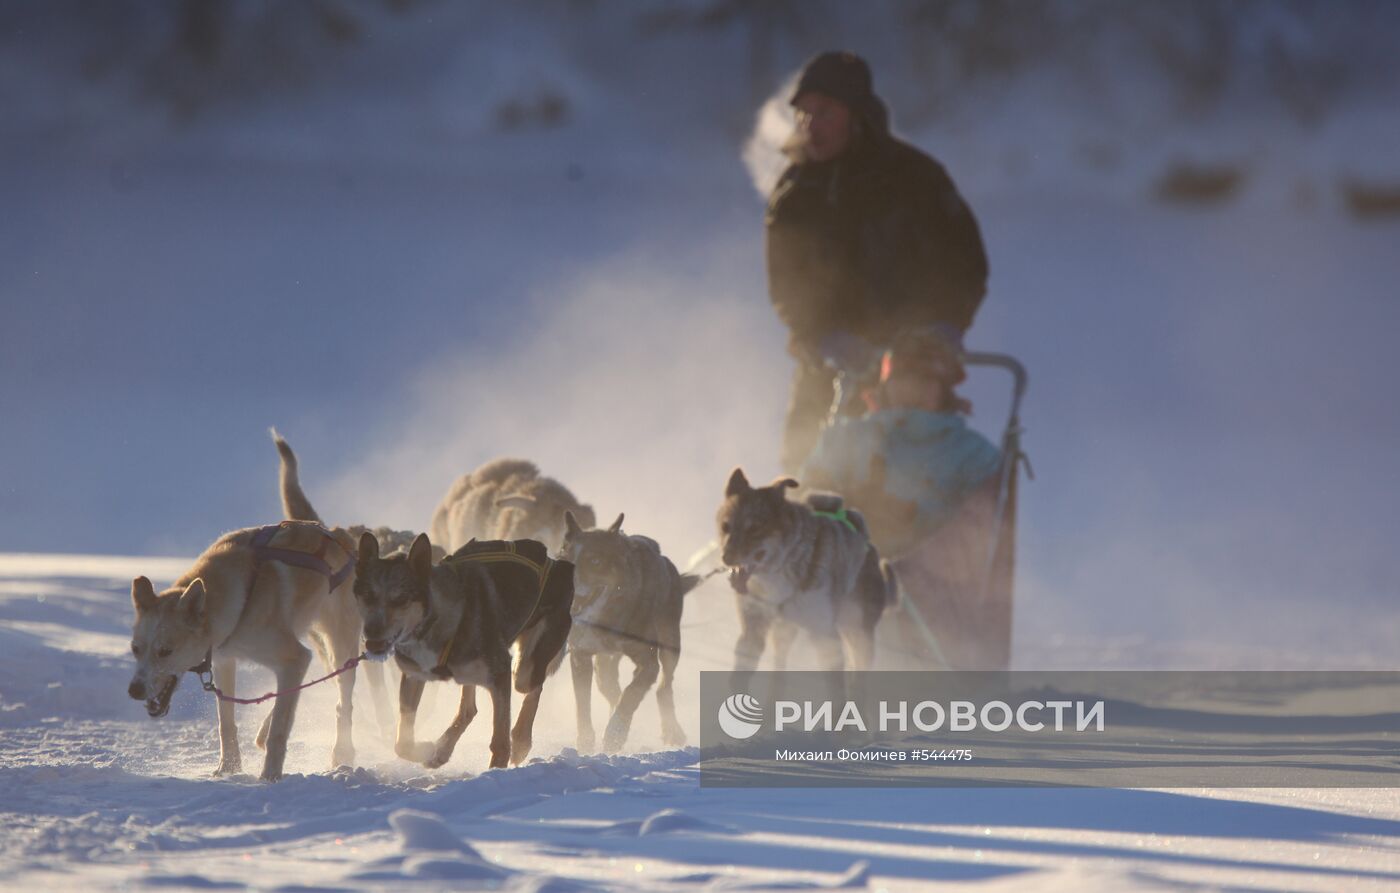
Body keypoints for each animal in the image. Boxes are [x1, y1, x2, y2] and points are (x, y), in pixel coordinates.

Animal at [126, 526, 364, 783]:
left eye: (165, 651)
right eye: (135, 649)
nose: (134, 690)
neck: (241, 602)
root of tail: (339, 534)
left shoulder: (295, 658)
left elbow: (279, 729)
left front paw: (270, 775)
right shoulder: (224, 661)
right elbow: (226, 724)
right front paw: (228, 769)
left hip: (339, 650)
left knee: (342, 703)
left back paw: (342, 753)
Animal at [355, 531, 574, 772]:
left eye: (400, 599)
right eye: (368, 595)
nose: (371, 631)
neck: (440, 619)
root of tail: (555, 562)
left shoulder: (500, 673)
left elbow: (500, 740)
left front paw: (496, 770)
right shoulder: (414, 675)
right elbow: (402, 743)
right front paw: (428, 749)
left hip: (523, 671)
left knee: (534, 688)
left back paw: (521, 741)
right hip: (470, 673)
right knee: (469, 709)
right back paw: (442, 750)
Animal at [557, 509, 700, 755]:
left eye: (595, 561)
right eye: (566, 559)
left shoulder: (649, 663)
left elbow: (632, 694)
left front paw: (615, 733)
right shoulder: (581, 655)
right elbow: (583, 703)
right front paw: (586, 740)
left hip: (670, 642)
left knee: (663, 687)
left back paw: (672, 730)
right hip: (604, 665)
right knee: (611, 689)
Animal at [716, 470, 890, 671]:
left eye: (754, 529)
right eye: (726, 526)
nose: (726, 558)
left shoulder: (826, 639)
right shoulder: (752, 630)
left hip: (858, 636)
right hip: (783, 632)